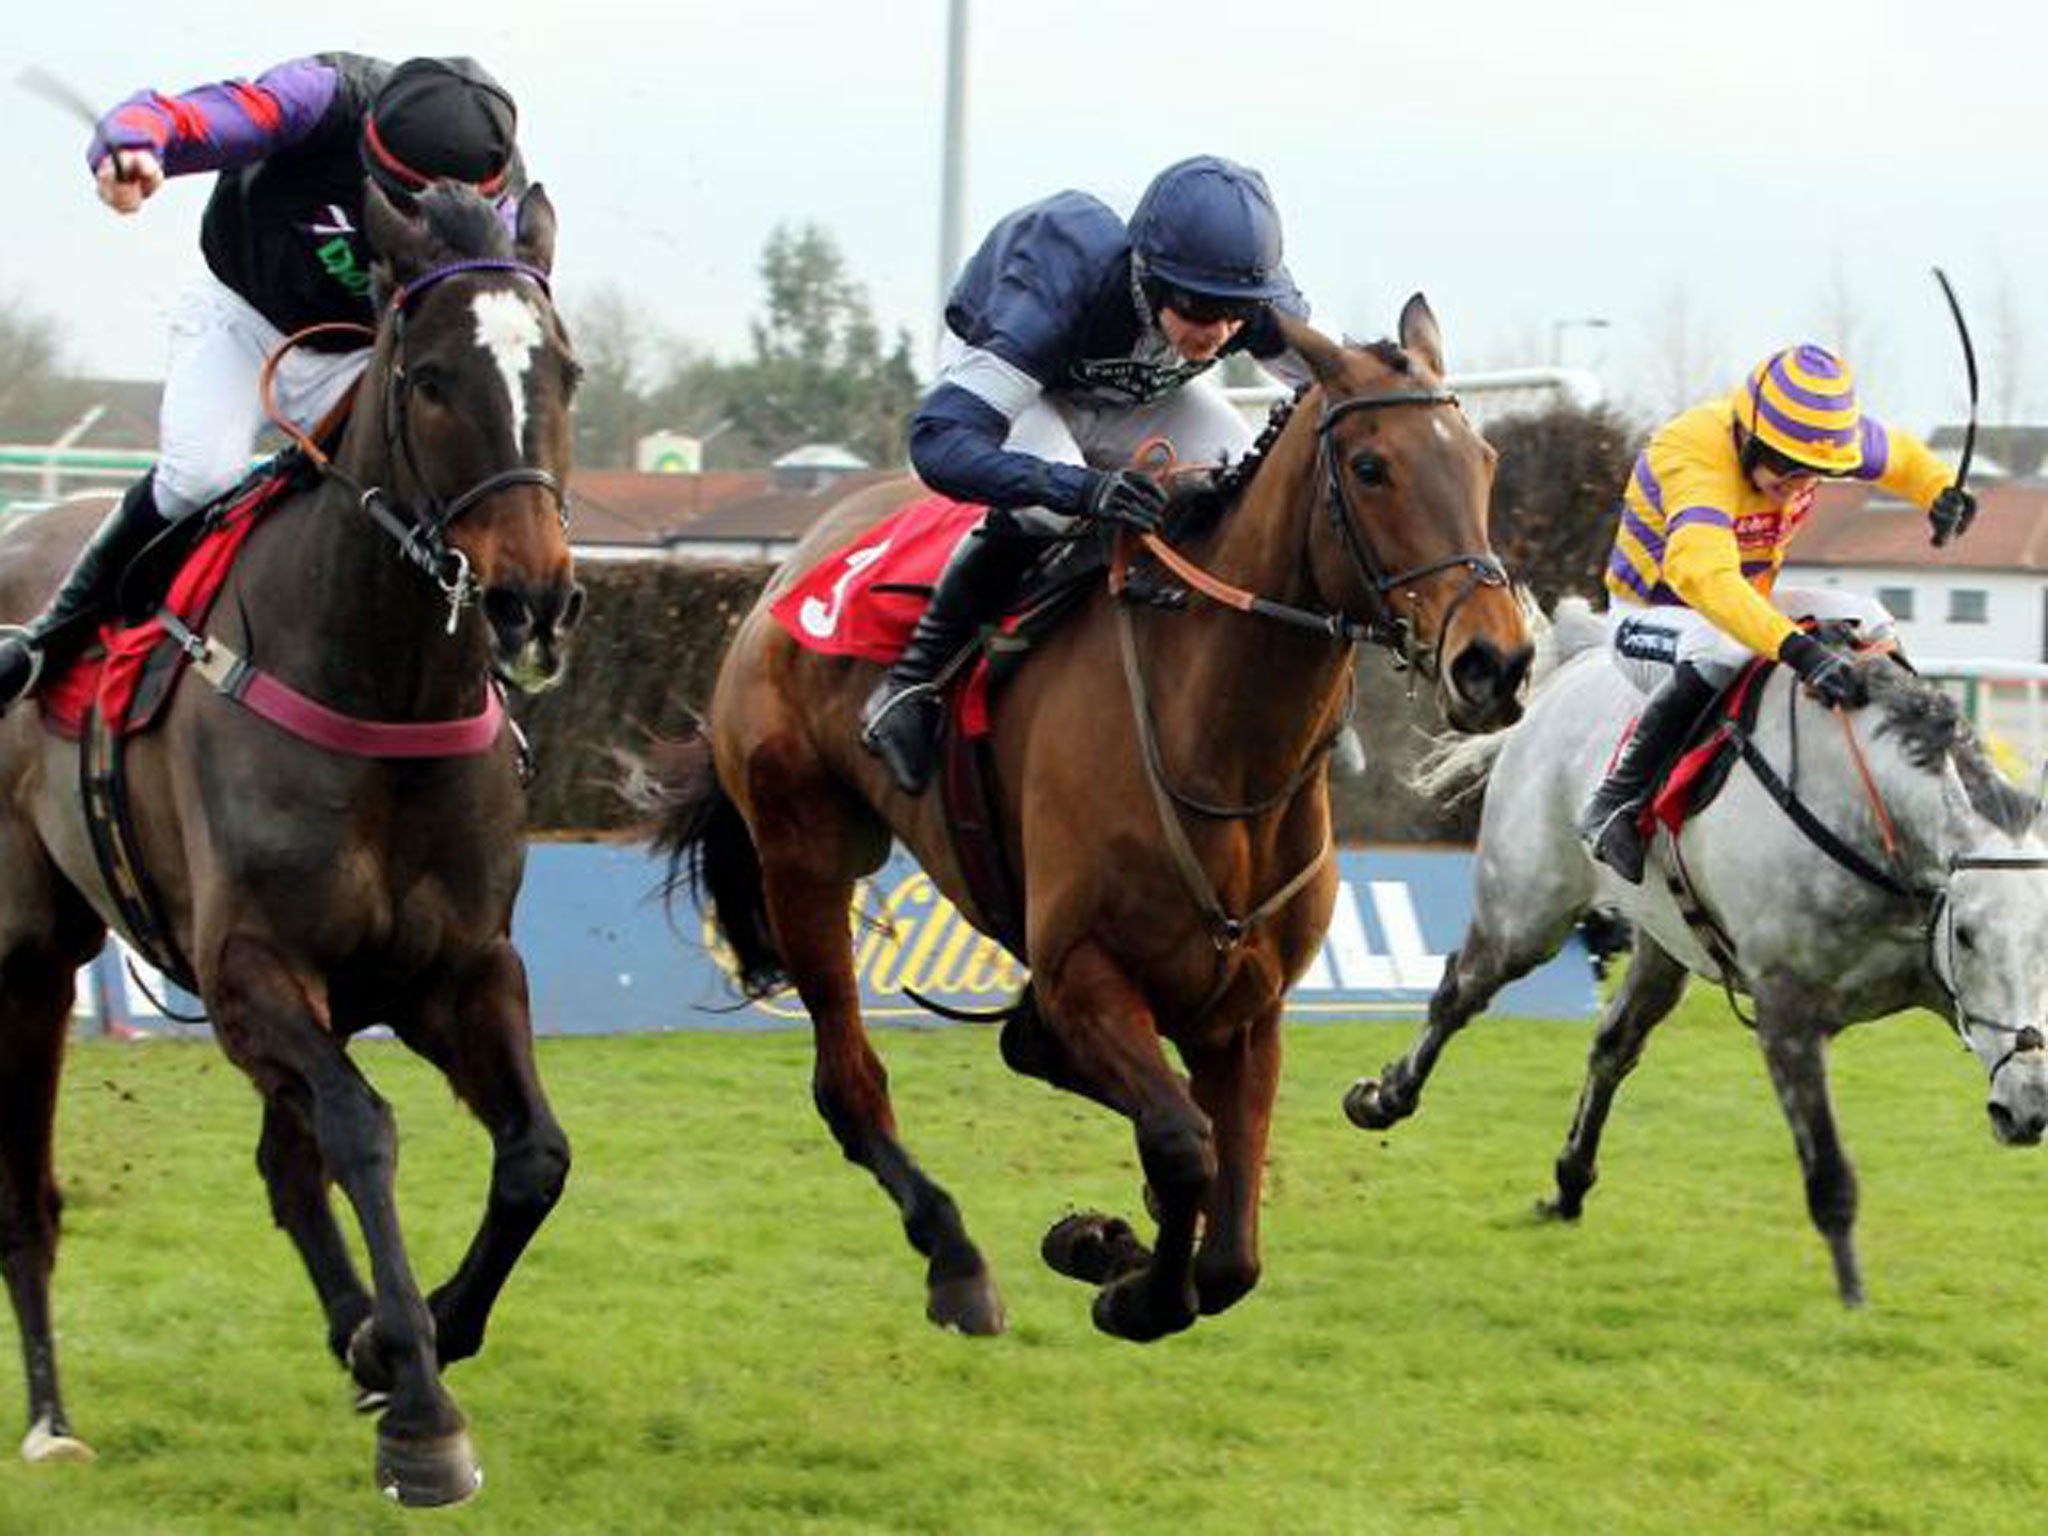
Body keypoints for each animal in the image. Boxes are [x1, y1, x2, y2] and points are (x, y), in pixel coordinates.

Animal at [0, 186, 581, 1507]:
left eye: (564, 372)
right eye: (428, 378)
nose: (532, 603)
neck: (383, 686)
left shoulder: (461, 969)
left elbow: (533, 1155)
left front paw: (406, 1341)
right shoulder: (251, 969)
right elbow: (363, 1130)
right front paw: (419, 1408)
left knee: (284, 1159)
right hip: (28, 954)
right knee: (27, 1195)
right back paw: (52, 1419)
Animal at [647, 303, 1531, 1343]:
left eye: (1484, 460)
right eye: (1369, 466)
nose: (1495, 663)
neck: (1217, 738)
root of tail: (791, 562)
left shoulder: (1246, 1003)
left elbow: (1230, 1245)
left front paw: (1119, 1244)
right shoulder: (1086, 972)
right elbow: (1185, 1145)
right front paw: (1131, 1285)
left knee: (1027, 1049)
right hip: (807, 853)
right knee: (851, 1084)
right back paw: (955, 1261)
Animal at [1343, 602, 2048, 1310]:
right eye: (1968, 935)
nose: (2028, 1106)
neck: (1877, 829)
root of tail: (1576, 660)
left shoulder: (1939, 985)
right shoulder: (1787, 1013)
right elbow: (1828, 1172)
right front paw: (1852, 1300)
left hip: (1663, 940)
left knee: (1614, 1045)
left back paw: (1570, 1181)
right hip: (1526, 909)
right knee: (1458, 993)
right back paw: (1384, 1098)